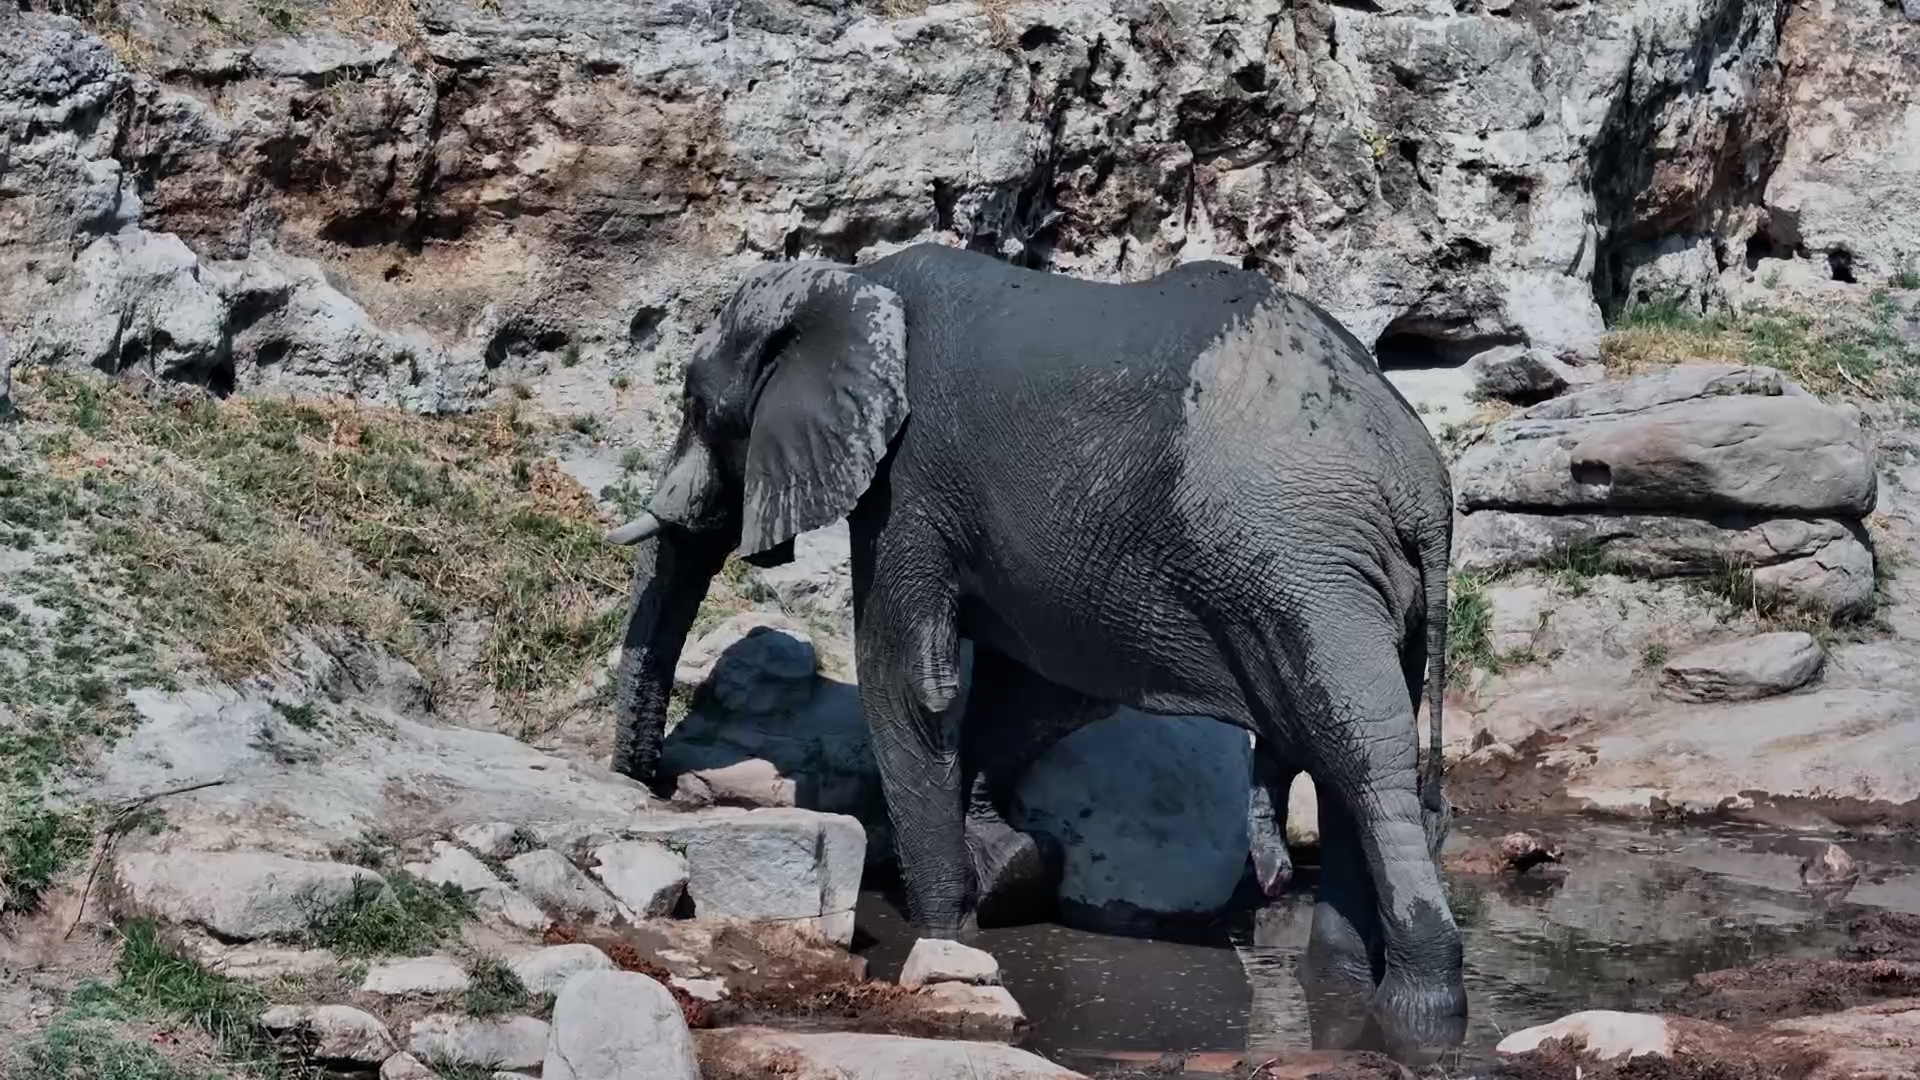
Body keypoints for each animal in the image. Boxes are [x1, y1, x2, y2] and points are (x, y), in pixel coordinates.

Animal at [603, 243, 1465, 1059]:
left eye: (698, 404)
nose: (655, 783)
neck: (850, 280)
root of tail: (1421, 484)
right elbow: (1033, 684)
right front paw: (1009, 871)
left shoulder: (910, 477)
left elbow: (908, 676)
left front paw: (946, 931)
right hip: (1357, 583)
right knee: (1344, 752)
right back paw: (1344, 983)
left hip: (1304, 567)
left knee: (1365, 757)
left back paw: (1423, 1014)